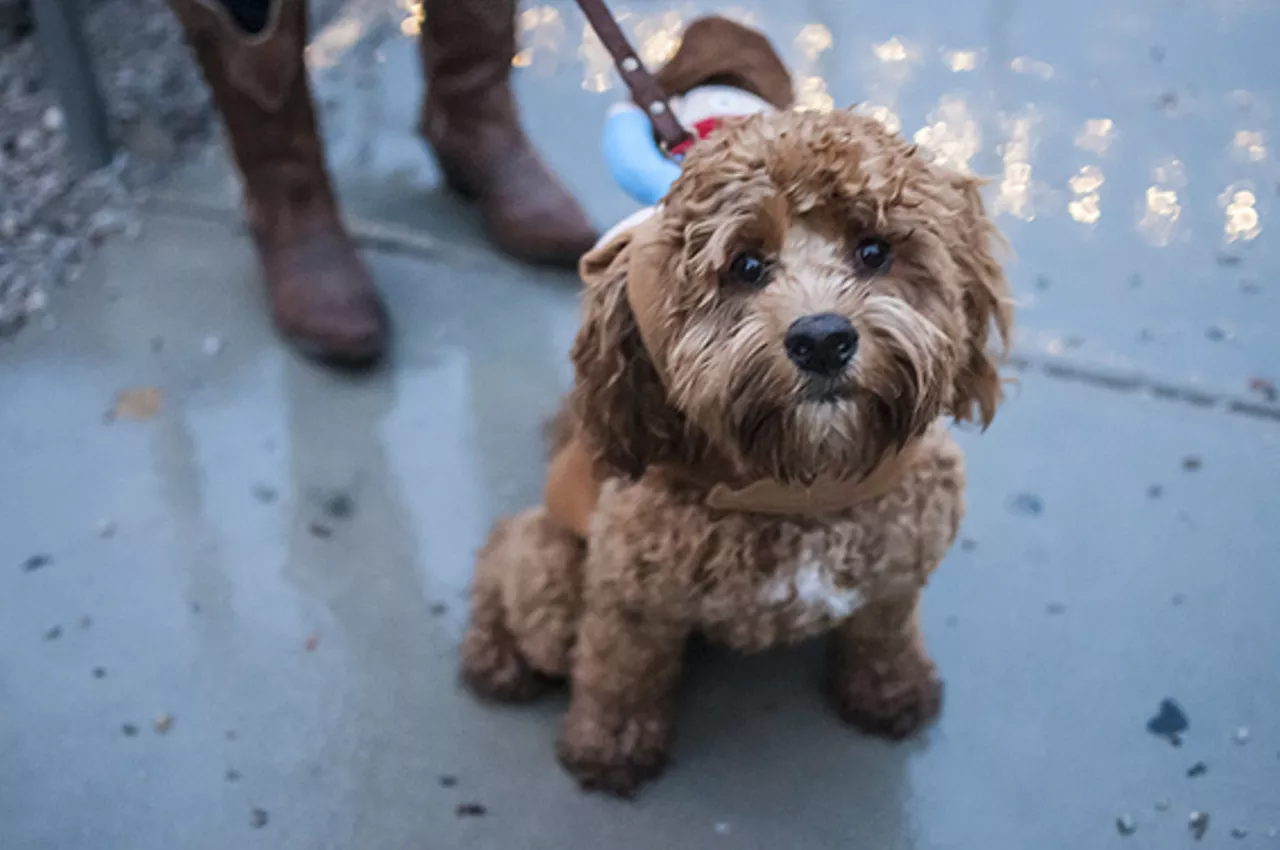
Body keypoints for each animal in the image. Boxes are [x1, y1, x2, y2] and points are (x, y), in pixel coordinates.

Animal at [458, 16, 1008, 798]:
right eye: (746, 266)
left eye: (874, 251)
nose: (822, 339)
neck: (800, 486)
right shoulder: (628, 596)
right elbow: (619, 670)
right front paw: (609, 746)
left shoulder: (900, 568)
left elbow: (884, 630)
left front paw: (891, 692)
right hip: (552, 578)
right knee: (514, 563)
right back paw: (495, 656)